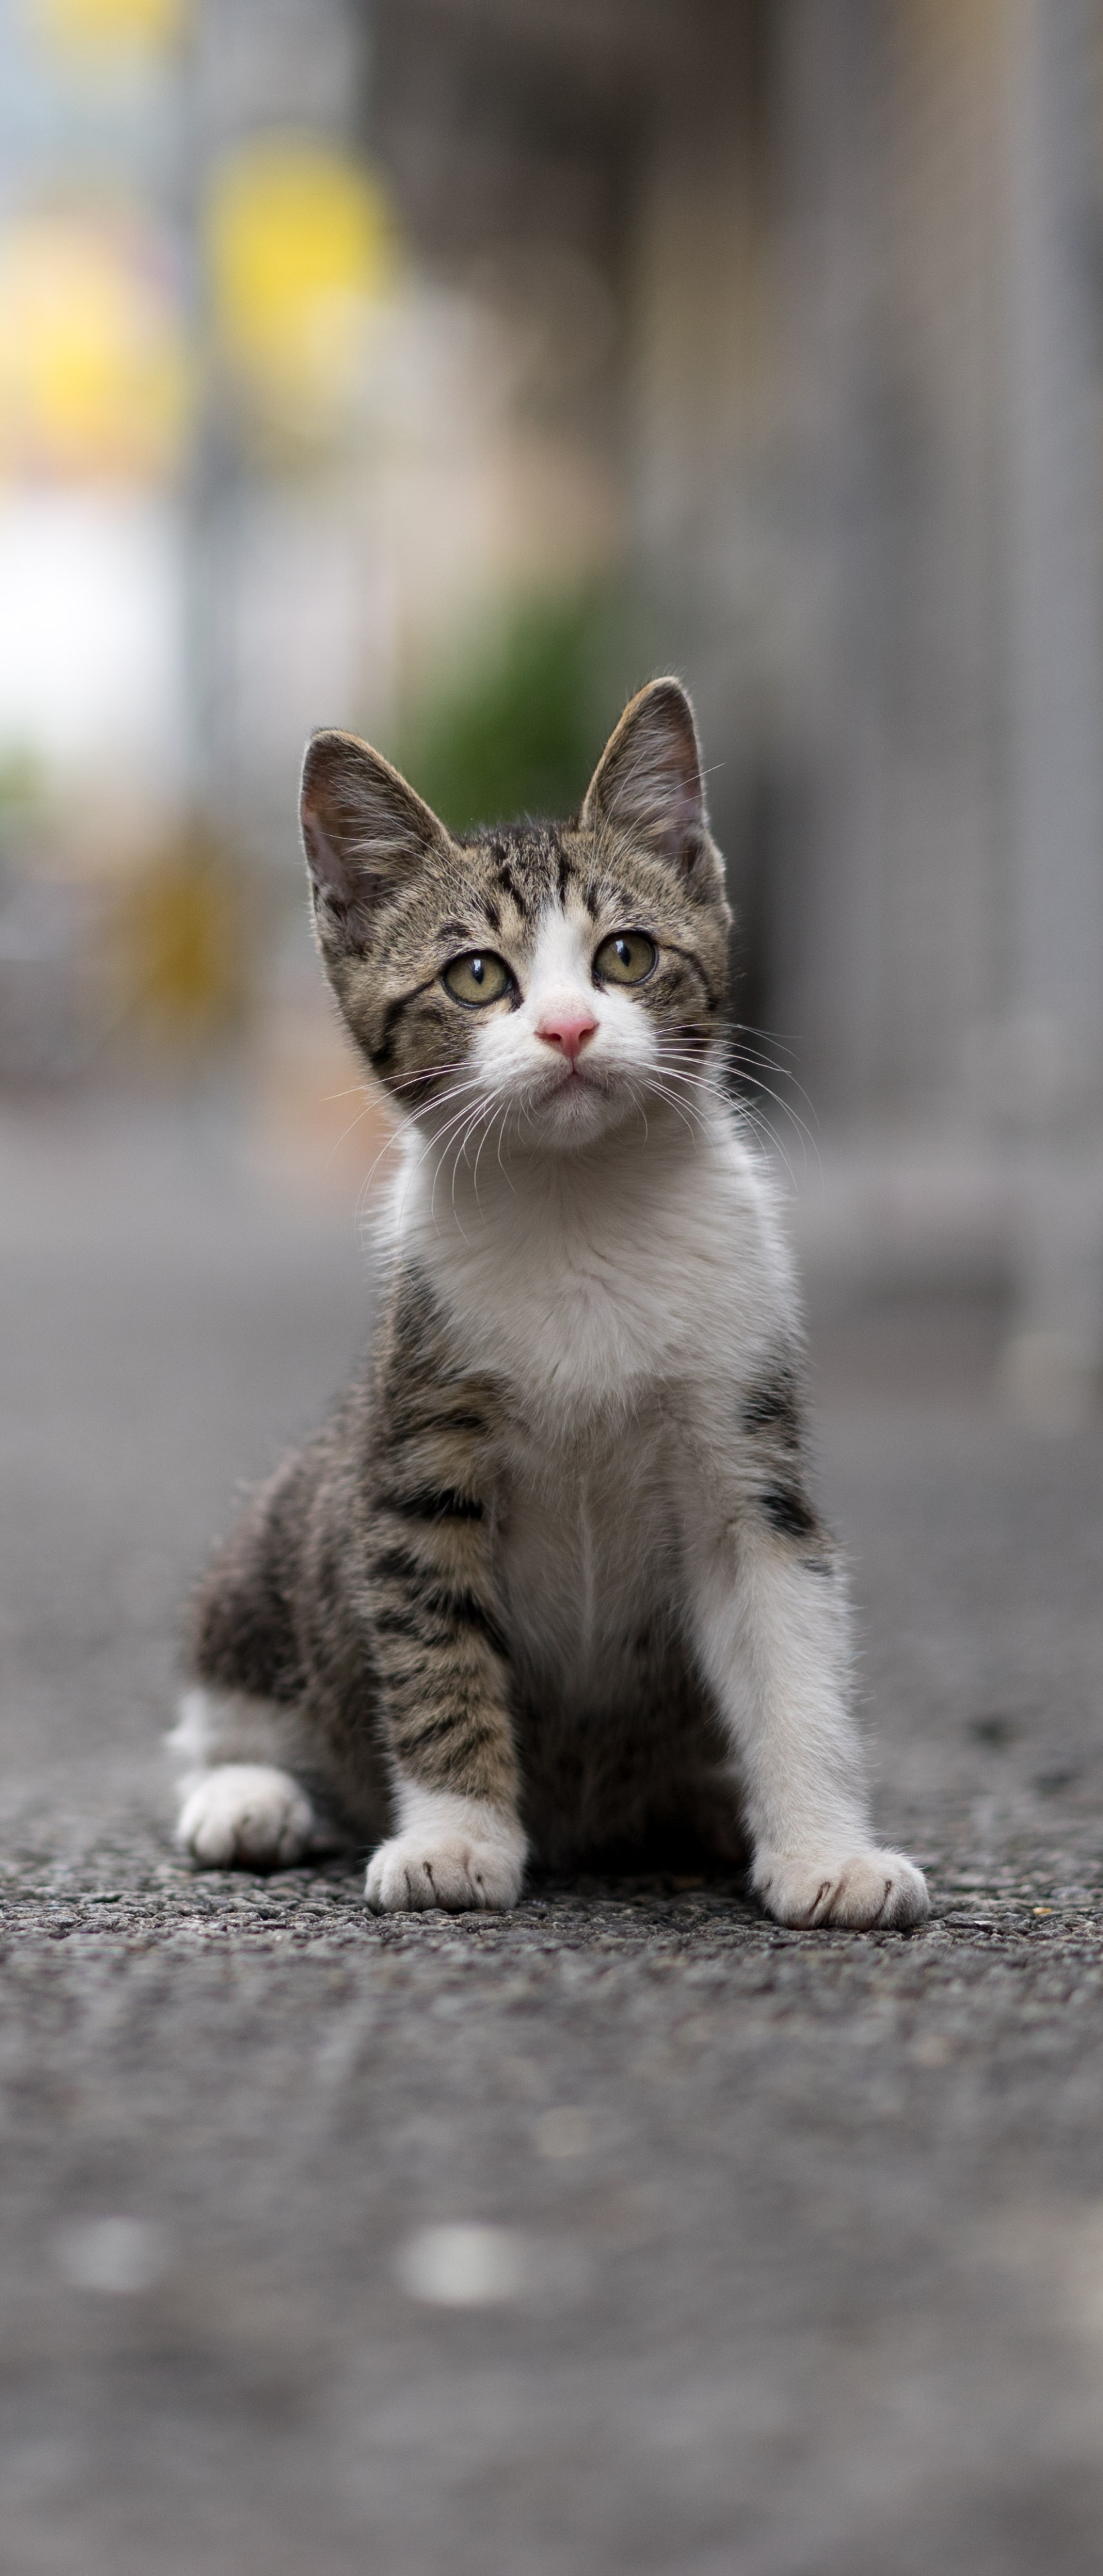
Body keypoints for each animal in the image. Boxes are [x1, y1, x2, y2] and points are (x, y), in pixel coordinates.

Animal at [170, 675, 933, 1927]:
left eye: (626, 955)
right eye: (477, 975)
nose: (570, 1028)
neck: (581, 1208)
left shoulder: (746, 1453)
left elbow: (793, 1652)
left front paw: (827, 1849)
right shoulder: (414, 1456)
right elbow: (433, 1651)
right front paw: (457, 1839)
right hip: (283, 1530)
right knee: (222, 1708)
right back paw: (249, 1795)